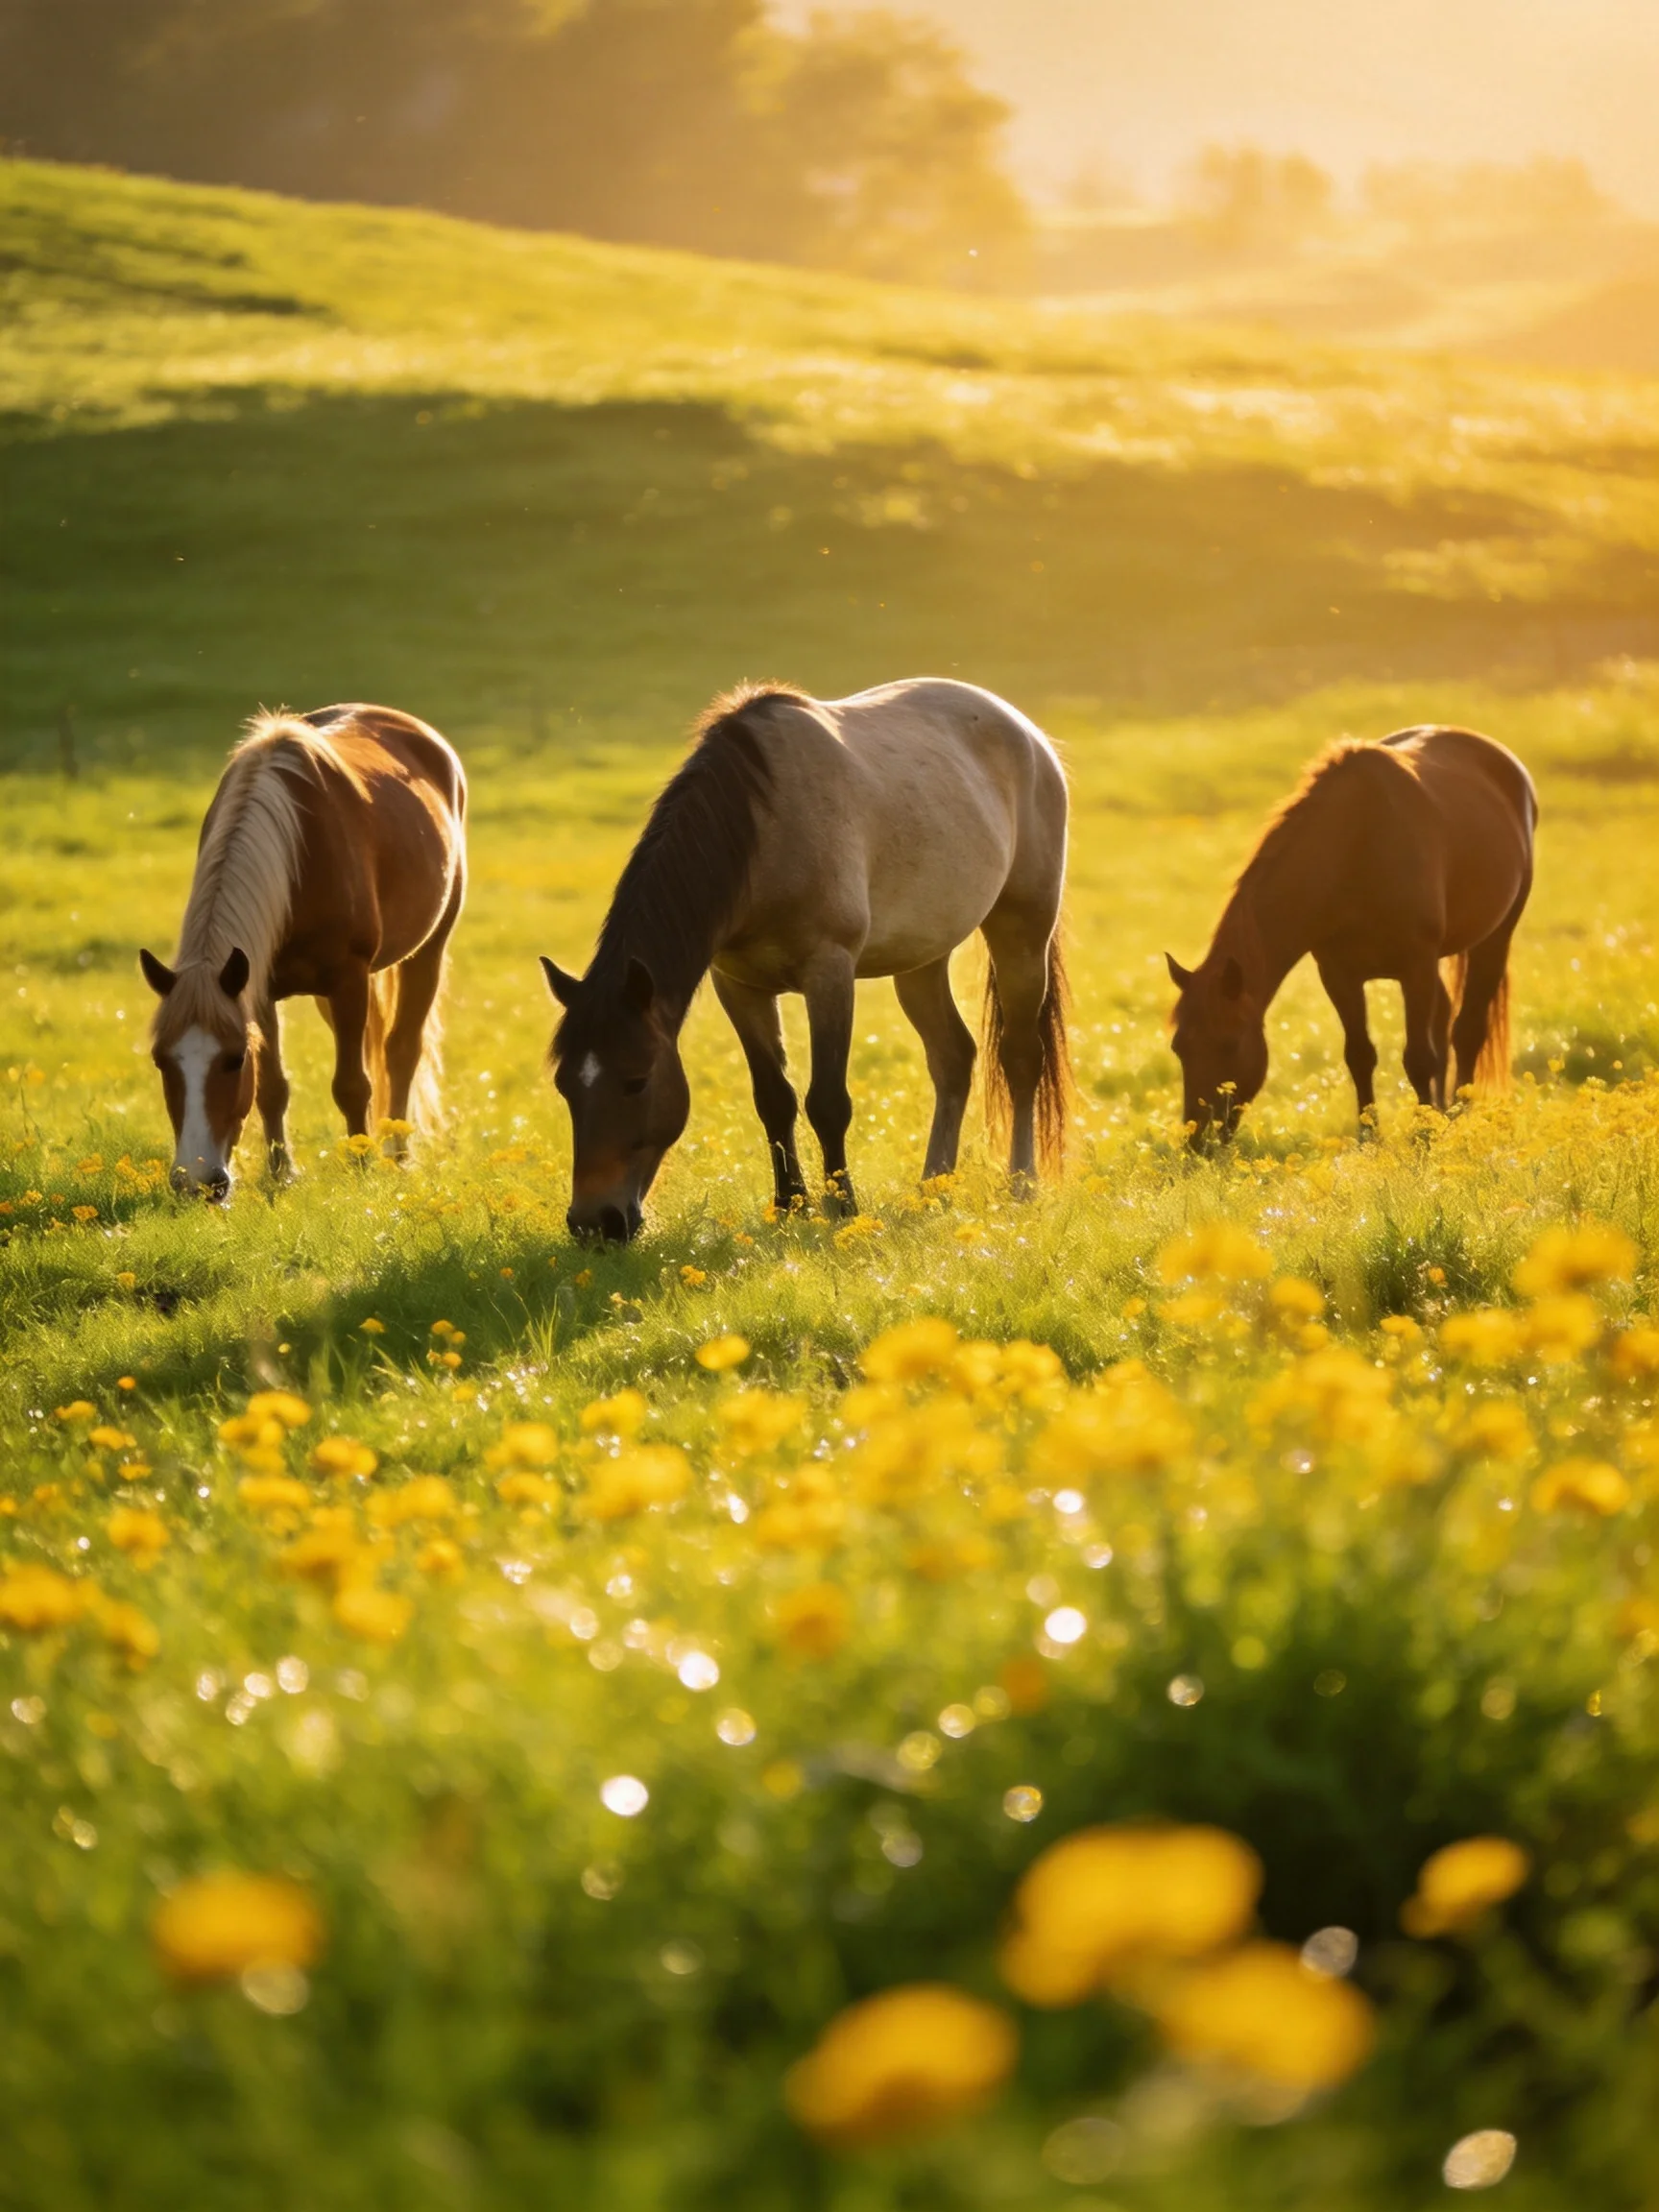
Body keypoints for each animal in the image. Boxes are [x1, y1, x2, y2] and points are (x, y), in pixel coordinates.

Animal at [140, 705, 467, 1197]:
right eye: (161, 1060)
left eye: (233, 1059)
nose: (197, 1182)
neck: (296, 860)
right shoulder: (256, 987)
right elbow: (273, 1087)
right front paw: (281, 1173)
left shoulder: (348, 979)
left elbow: (352, 1084)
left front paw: (360, 1168)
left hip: (425, 953)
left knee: (401, 1051)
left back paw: (396, 1155)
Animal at [541, 678, 1071, 1242]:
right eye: (565, 1085)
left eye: (637, 1081)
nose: (594, 1223)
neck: (763, 833)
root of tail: (1026, 731)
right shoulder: (739, 986)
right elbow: (774, 1098)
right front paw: (790, 1204)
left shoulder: (830, 974)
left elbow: (827, 1101)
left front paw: (843, 1208)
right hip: (921, 960)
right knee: (952, 1057)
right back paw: (933, 1187)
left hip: (1022, 932)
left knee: (1020, 1056)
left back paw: (1021, 1184)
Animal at [1165, 725, 1536, 1144]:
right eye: (1179, 1047)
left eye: (1229, 1044)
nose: (1198, 1139)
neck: (1357, 847)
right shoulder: (1339, 974)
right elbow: (1359, 1055)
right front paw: (1369, 1138)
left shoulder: (1415, 966)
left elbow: (1418, 1058)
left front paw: (1424, 1137)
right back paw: (1442, 1111)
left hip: (1494, 939)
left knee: (1467, 1030)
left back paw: (1457, 1114)